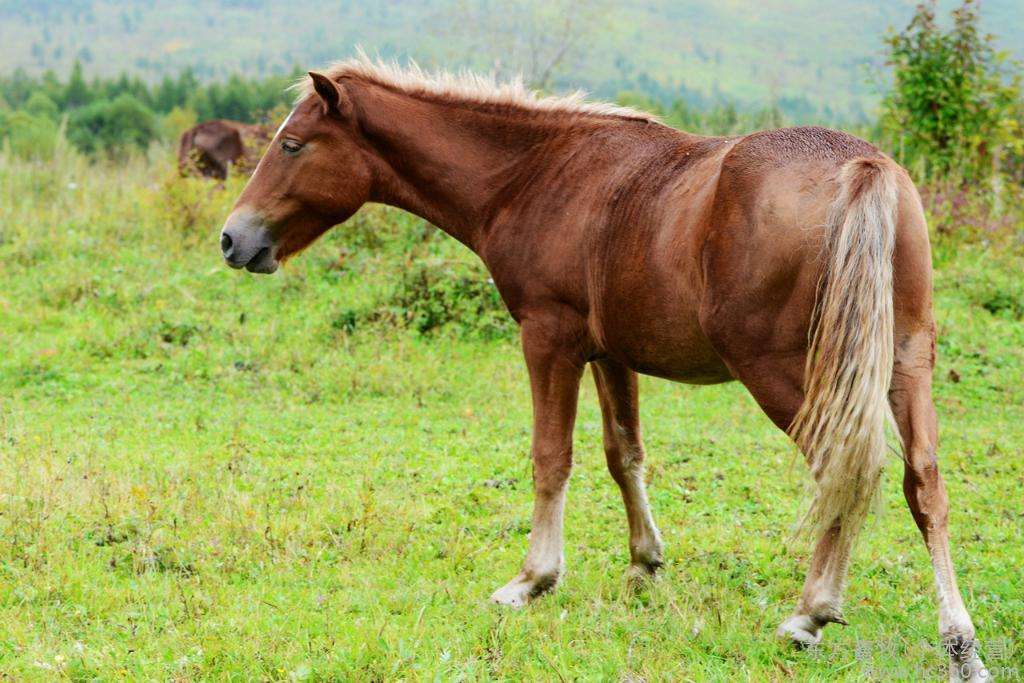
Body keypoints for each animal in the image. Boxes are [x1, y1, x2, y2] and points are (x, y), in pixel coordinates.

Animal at [220, 54, 987, 679]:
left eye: (292, 144)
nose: (233, 238)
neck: (533, 175)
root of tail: (865, 168)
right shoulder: (613, 352)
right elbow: (625, 454)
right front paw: (645, 563)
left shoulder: (549, 338)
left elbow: (551, 457)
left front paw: (530, 580)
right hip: (904, 363)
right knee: (924, 485)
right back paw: (960, 645)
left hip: (784, 373)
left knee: (844, 469)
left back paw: (810, 613)